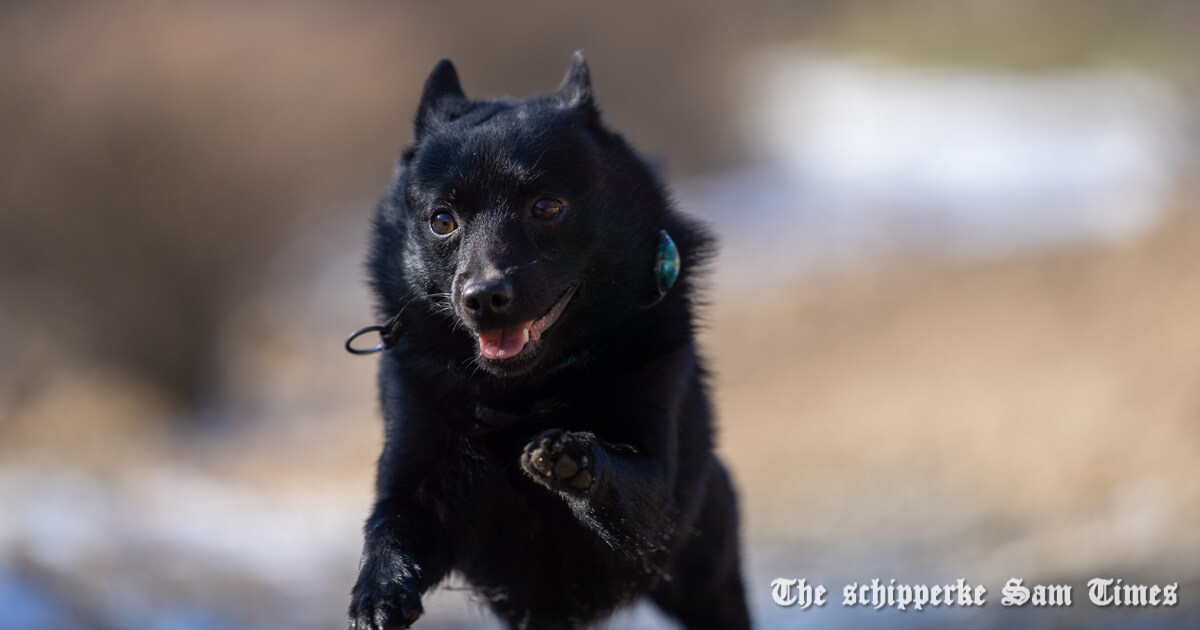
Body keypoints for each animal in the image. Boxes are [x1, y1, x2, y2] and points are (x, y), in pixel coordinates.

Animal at [343, 51, 748, 624]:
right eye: (442, 220)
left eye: (546, 207)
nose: (483, 297)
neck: (522, 396)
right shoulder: (418, 477)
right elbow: (389, 527)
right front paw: (378, 593)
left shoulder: (656, 500)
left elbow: (628, 482)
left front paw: (571, 457)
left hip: (705, 577)